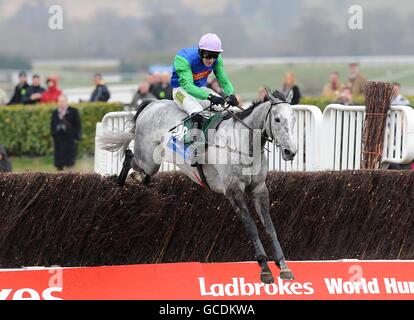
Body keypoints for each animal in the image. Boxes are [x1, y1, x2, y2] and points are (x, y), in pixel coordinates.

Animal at [99, 90, 298, 282]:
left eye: (293, 118)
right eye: (277, 119)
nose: (291, 152)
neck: (243, 145)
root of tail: (152, 104)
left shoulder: (259, 189)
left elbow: (270, 228)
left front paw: (284, 266)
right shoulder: (233, 191)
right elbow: (251, 227)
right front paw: (264, 269)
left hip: (151, 164)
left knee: (140, 172)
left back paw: (138, 179)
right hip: (148, 160)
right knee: (129, 156)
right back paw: (119, 183)